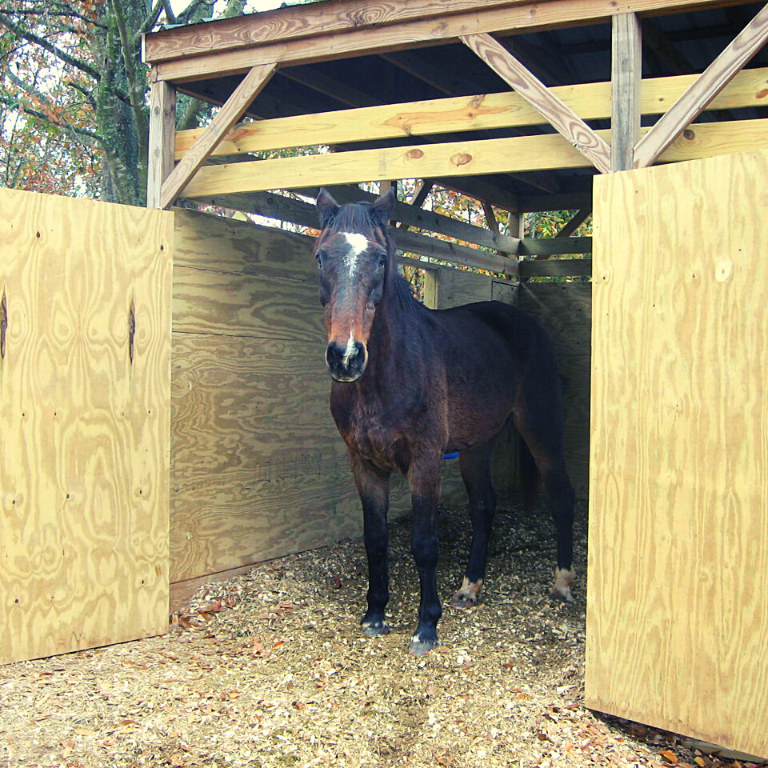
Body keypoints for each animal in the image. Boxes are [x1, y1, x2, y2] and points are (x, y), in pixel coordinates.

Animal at [314, 186, 576, 656]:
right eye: (322, 256)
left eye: (379, 259)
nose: (346, 356)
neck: (386, 374)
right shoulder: (364, 464)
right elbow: (375, 538)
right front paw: (375, 615)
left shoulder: (425, 462)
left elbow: (424, 543)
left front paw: (426, 627)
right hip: (476, 446)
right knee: (483, 505)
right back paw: (470, 587)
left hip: (541, 425)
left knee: (562, 495)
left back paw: (563, 583)